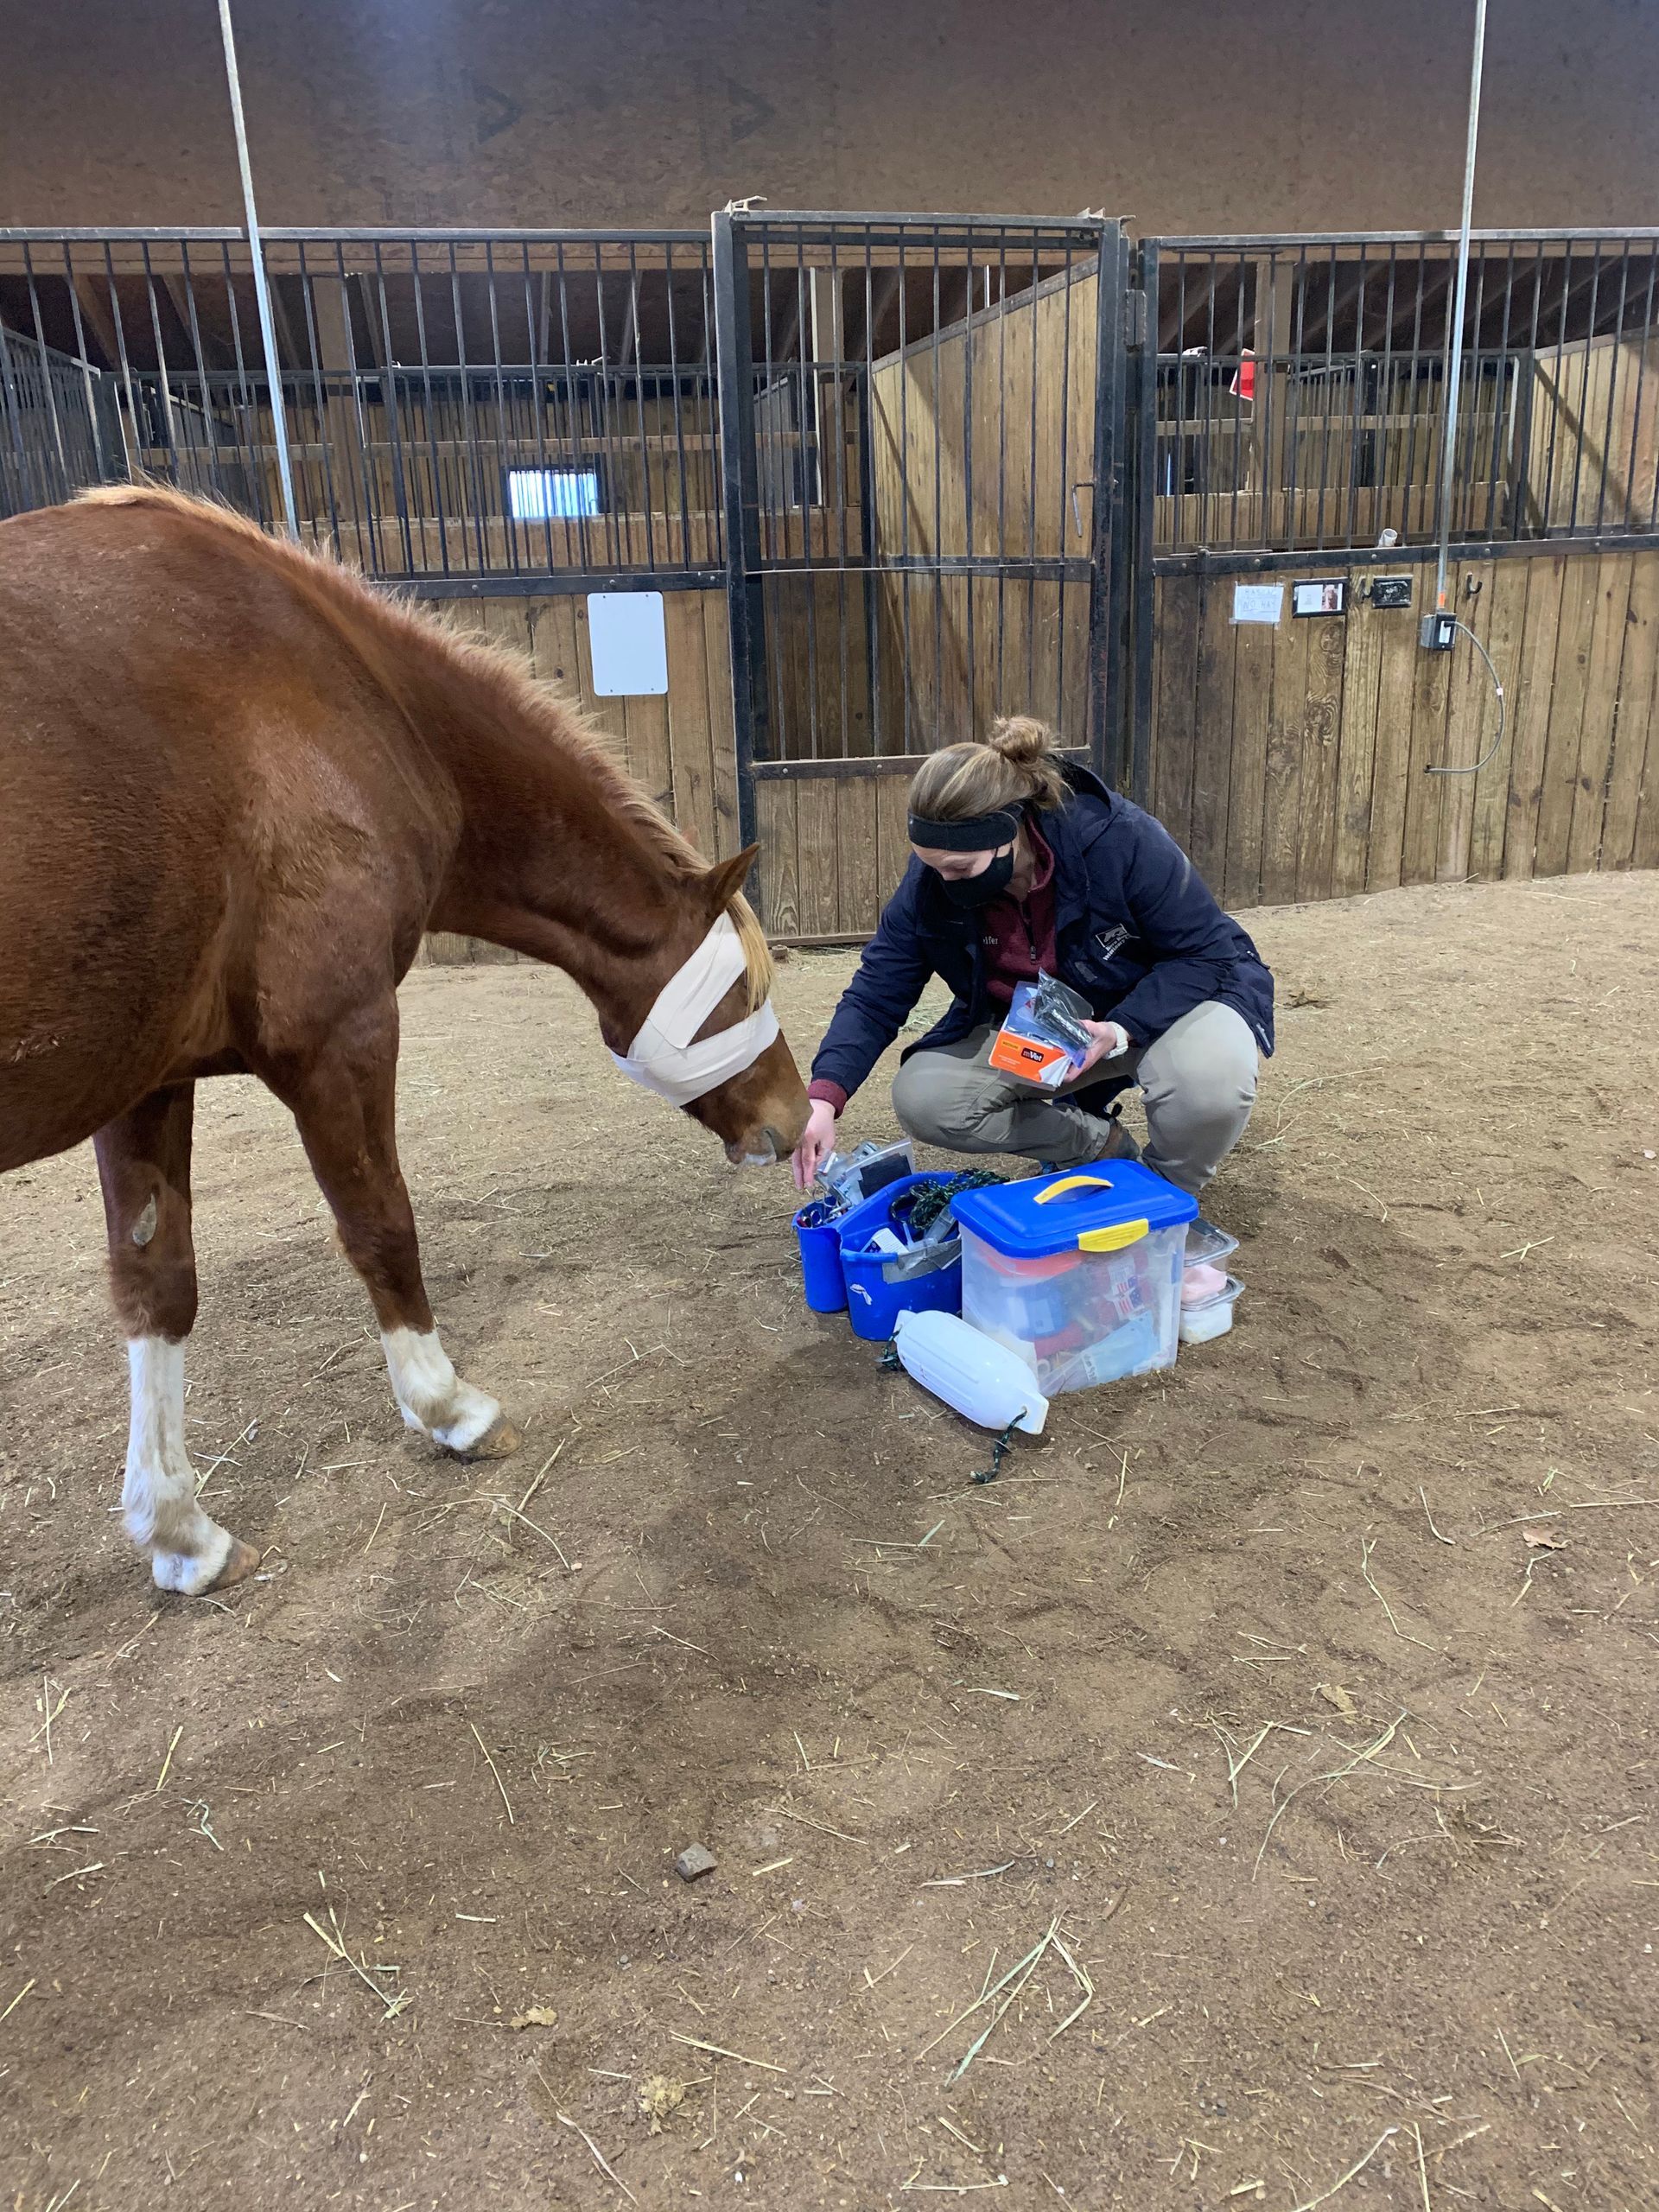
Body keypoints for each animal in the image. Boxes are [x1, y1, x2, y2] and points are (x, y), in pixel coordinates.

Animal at [0, 487, 809, 1597]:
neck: (340, 695)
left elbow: (156, 1286)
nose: (793, 1114)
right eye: (736, 990)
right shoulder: (338, 1034)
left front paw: (180, 1530)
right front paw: (450, 1408)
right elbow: (383, 1226)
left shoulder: (146, 1080)